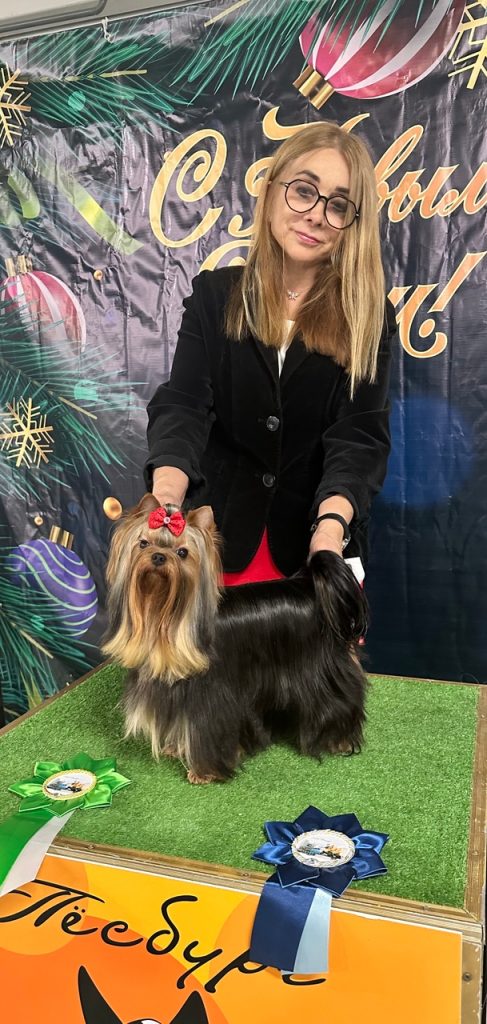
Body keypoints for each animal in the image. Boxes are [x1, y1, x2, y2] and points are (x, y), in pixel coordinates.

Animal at [103, 493, 368, 783]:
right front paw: (176, 748)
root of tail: (311, 587)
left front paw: (203, 772)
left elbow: (206, 728)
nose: (159, 556)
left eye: (183, 553)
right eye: (143, 543)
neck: (163, 615)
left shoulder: (211, 697)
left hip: (319, 673)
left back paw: (339, 740)